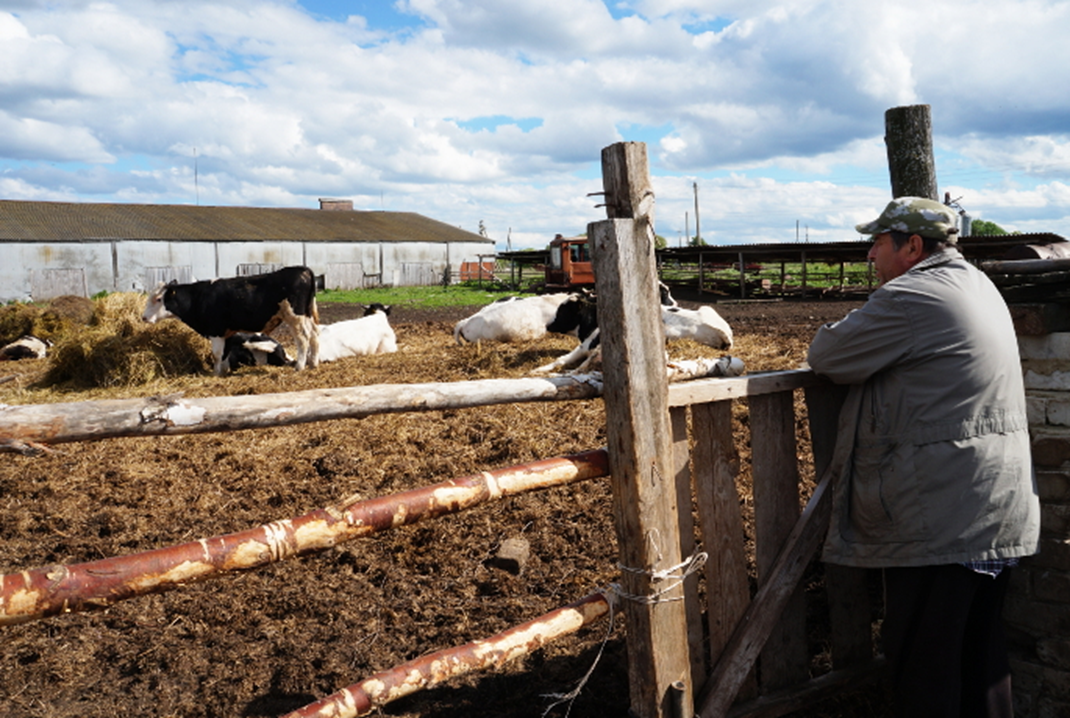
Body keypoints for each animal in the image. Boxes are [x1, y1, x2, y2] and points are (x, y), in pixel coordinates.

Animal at [142, 265, 320, 375]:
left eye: (158, 299)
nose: (144, 317)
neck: (197, 298)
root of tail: (303, 269)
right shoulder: (227, 333)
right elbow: (224, 354)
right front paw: (223, 371)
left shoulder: (216, 330)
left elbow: (216, 354)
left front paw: (215, 374)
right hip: (308, 315)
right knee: (315, 336)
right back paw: (313, 363)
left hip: (295, 317)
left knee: (303, 339)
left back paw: (300, 366)